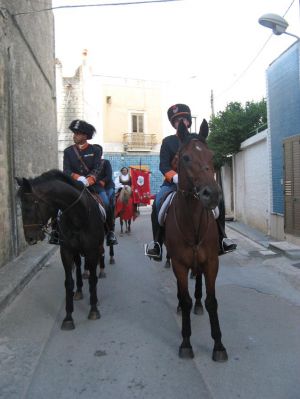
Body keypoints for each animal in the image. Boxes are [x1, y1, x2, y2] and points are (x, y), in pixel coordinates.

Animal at [16, 170, 105, 330]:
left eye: (31, 204)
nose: (30, 238)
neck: (78, 217)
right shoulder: (67, 251)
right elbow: (68, 282)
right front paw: (68, 317)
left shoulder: (92, 251)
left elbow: (93, 279)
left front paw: (94, 309)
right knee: (78, 268)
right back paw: (79, 291)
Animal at [164, 119, 227, 362]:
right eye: (185, 158)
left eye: (212, 155)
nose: (213, 194)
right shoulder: (179, 264)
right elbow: (184, 299)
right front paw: (186, 343)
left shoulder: (211, 262)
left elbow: (212, 301)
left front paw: (218, 345)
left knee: (198, 282)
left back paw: (198, 304)